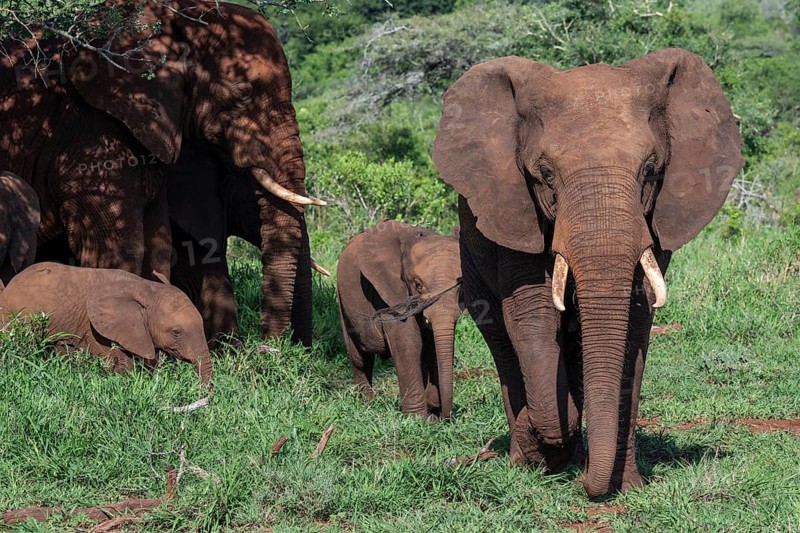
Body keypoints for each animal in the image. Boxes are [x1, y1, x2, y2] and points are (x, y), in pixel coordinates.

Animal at [337, 221, 463, 420]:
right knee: (359, 356)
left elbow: (432, 345)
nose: (446, 416)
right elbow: (409, 342)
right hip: (342, 298)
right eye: (418, 285)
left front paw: (432, 414)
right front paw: (418, 420)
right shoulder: (389, 292)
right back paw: (366, 404)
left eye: (460, 285)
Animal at [432, 48, 744, 497]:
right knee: (502, 341)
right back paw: (529, 460)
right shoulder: (514, 209)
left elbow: (634, 322)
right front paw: (551, 445)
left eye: (650, 170)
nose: (583, 483)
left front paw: (626, 486)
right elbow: (533, 314)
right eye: (545, 173)